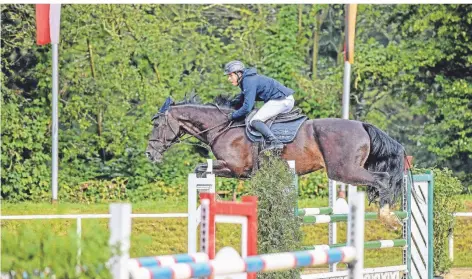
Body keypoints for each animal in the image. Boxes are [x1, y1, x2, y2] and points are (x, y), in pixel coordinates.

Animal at [146, 96, 408, 228]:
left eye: (157, 124)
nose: (150, 154)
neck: (223, 127)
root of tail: (362, 125)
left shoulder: (234, 167)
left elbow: (201, 168)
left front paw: (215, 201)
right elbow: (202, 170)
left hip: (343, 171)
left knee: (382, 180)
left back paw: (388, 218)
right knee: (383, 179)